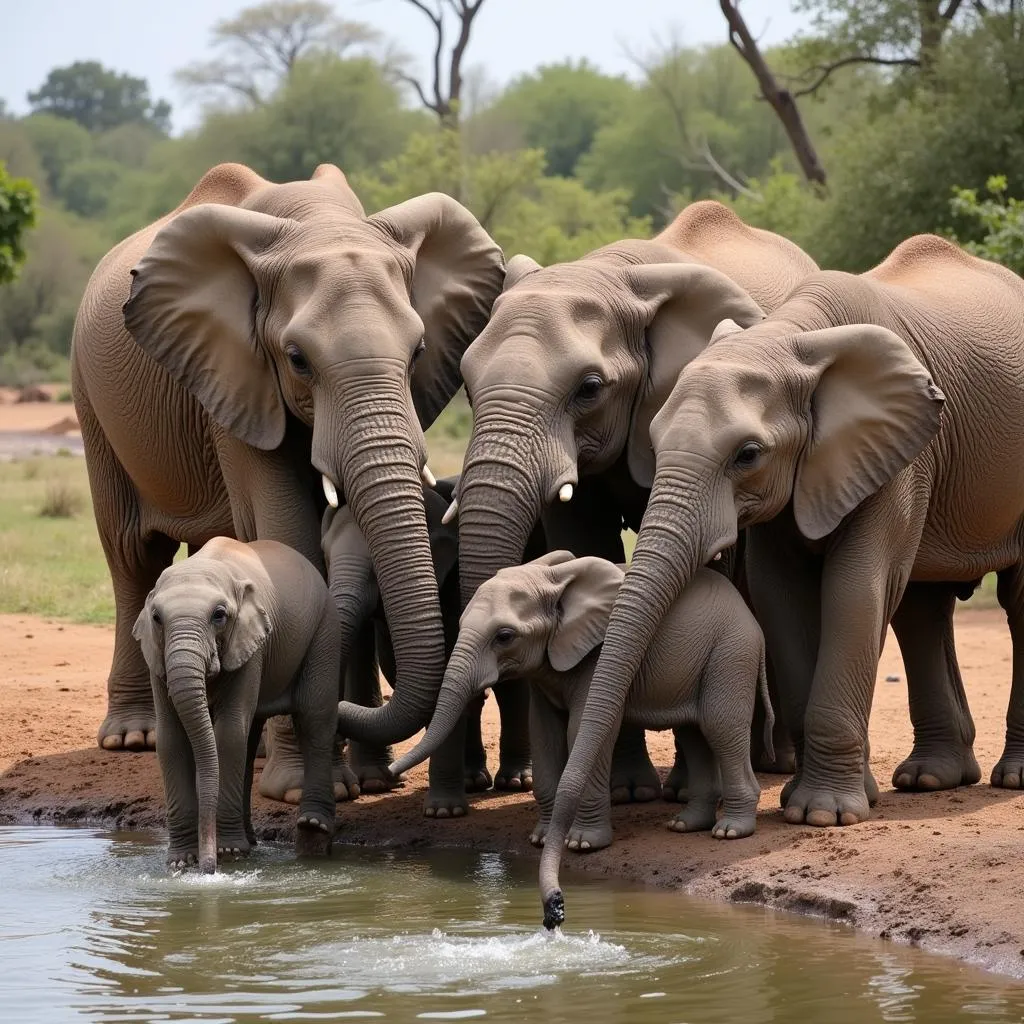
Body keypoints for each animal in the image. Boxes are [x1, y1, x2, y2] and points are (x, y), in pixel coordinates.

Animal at [70, 163, 505, 794]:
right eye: (297, 359)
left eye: (419, 349)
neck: (315, 221)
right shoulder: (234, 374)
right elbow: (289, 530)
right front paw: (303, 786)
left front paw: (363, 781)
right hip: (92, 403)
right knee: (132, 553)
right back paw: (133, 737)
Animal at [130, 536, 339, 872]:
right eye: (157, 618)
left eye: (219, 615)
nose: (208, 869)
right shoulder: (155, 654)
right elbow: (171, 737)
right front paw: (180, 863)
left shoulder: (251, 644)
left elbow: (228, 732)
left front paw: (228, 853)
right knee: (251, 736)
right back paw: (251, 842)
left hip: (324, 628)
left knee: (314, 718)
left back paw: (312, 829)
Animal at [389, 552, 770, 880]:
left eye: (505, 636)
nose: (393, 772)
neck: (551, 581)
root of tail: (746, 611)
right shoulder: (545, 671)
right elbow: (545, 735)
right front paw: (541, 839)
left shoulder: (594, 657)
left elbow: (582, 731)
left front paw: (582, 843)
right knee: (693, 733)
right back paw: (685, 825)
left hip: (731, 650)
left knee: (719, 726)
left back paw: (730, 831)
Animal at [444, 197, 819, 790]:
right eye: (466, 384)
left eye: (590, 388)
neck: (610, 273)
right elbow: (584, 540)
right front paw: (627, 789)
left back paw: (774, 764)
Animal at [540, 234, 1024, 905]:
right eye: (654, 442)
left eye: (747, 455)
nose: (556, 905)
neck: (793, 338)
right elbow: (781, 596)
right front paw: (817, 802)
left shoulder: (902, 452)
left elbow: (855, 588)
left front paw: (824, 815)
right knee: (922, 607)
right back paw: (930, 780)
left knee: (1013, 602)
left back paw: (1007, 778)